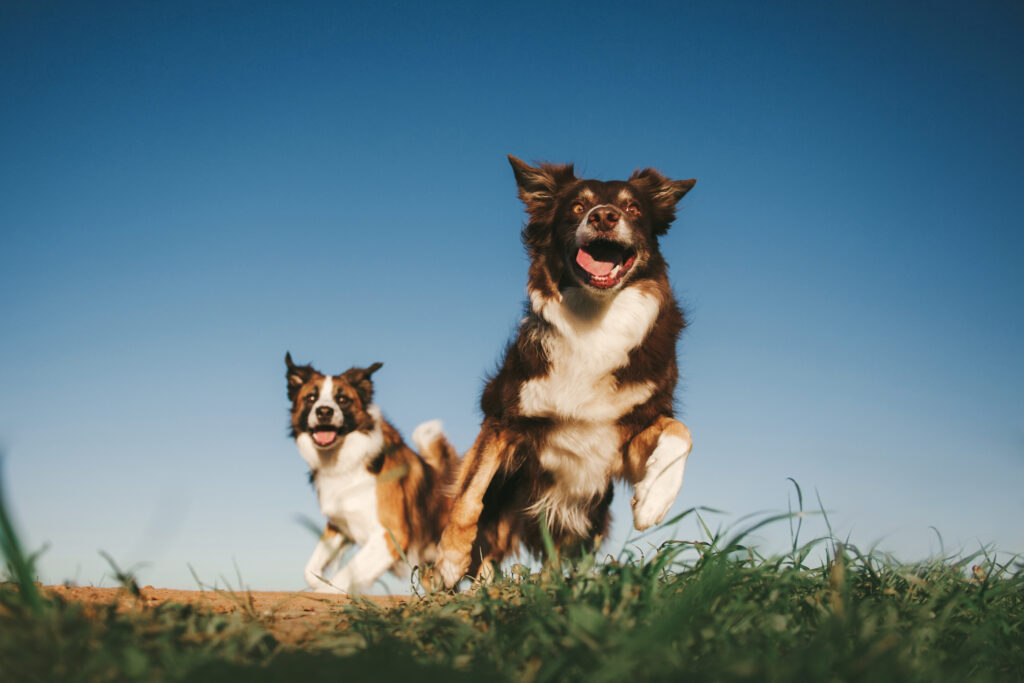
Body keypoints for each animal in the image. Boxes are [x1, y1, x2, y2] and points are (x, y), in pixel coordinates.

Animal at [282, 352, 454, 593]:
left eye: (342, 399)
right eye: (311, 397)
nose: (324, 411)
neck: (346, 462)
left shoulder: (391, 535)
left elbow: (344, 576)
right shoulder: (340, 525)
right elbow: (311, 570)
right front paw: (321, 581)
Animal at [436, 154, 700, 589]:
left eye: (633, 208)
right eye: (578, 206)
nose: (604, 216)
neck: (595, 317)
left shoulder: (625, 438)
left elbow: (681, 432)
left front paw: (653, 501)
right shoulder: (505, 418)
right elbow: (471, 493)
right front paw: (449, 558)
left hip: (589, 518)